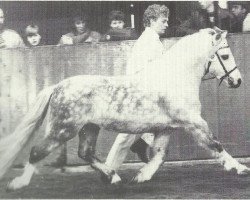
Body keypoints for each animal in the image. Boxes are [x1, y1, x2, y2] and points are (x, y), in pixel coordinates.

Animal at [0, 27, 248, 191]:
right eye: (225, 55)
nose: (237, 81)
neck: (175, 78)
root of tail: (57, 87)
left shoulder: (165, 128)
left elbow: (159, 155)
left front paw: (141, 177)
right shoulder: (193, 122)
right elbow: (215, 144)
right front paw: (239, 168)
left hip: (89, 128)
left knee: (85, 153)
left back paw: (113, 176)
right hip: (63, 128)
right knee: (37, 151)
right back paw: (18, 183)